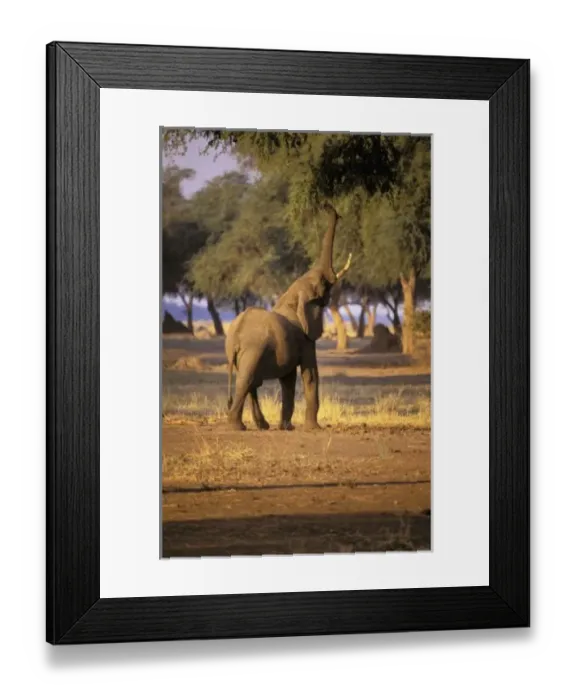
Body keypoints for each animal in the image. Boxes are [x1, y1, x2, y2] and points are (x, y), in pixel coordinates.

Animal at [225, 203, 351, 431]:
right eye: (323, 283)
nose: (327, 206)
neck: (292, 297)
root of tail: (235, 336)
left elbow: (288, 379)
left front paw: (287, 427)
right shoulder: (306, 340)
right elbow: (310, 375)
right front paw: (313, 429)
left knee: (251, 383)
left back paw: (261, 426)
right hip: (253, 350)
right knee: (246, 381)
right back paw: (237, 427)